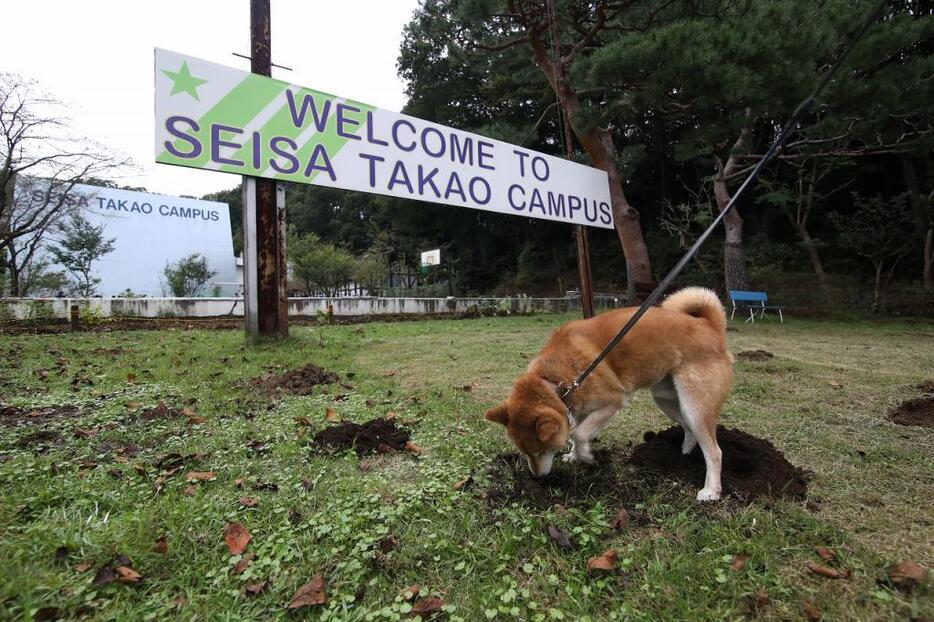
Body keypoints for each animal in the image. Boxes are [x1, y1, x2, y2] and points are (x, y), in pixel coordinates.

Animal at [486, 288, 736, 502]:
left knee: (715, 451)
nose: (538, 478)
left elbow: (580, 434)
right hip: (667, 398)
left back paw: (711, 491)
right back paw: (682, 456)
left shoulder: (612, 402)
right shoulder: (575, 409)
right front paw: (574, 456)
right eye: (524, 453)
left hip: (694, 405)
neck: (555, 382)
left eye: (542, 451)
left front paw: (586, 456)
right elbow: (575, 430)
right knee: (688, 428)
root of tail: (709, 325)